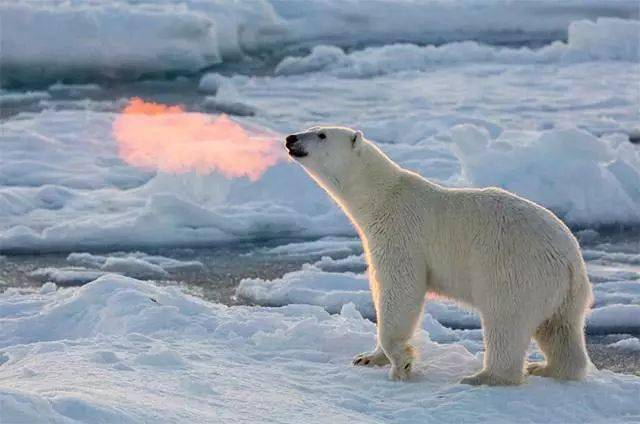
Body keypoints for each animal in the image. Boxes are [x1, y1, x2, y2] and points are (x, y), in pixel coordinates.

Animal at [288, 125, 592, 384]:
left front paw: (401, 363)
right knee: (559, 329)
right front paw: (368, 358)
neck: (381, 197)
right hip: (562, 293)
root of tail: (570, 260)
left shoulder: (401, 233)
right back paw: (547, 368)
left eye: (321, 134)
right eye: (312, 127)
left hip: (516, 270)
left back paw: (483, 377)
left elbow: (399, 290)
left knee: (506, 321)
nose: (290, 138)